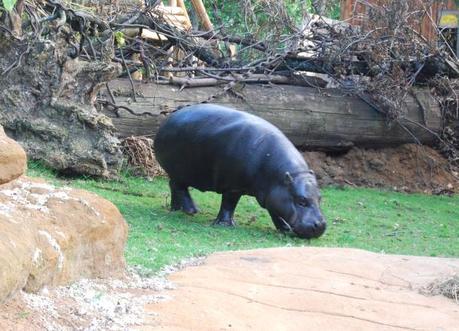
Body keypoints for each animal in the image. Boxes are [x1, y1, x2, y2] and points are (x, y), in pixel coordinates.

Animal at [155, 104, 328, 239]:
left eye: (320, 198)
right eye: (301, 200)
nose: (320, 225)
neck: (279, 178)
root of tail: (170, 117)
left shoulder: (274, 194)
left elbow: (276, 210)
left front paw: (284, 229)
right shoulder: (233, 186)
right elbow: (229, 204)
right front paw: (225, 225)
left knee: (173, 186)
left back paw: (177, 209)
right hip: (179, 170)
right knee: (179, 187)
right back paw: (191, 211)